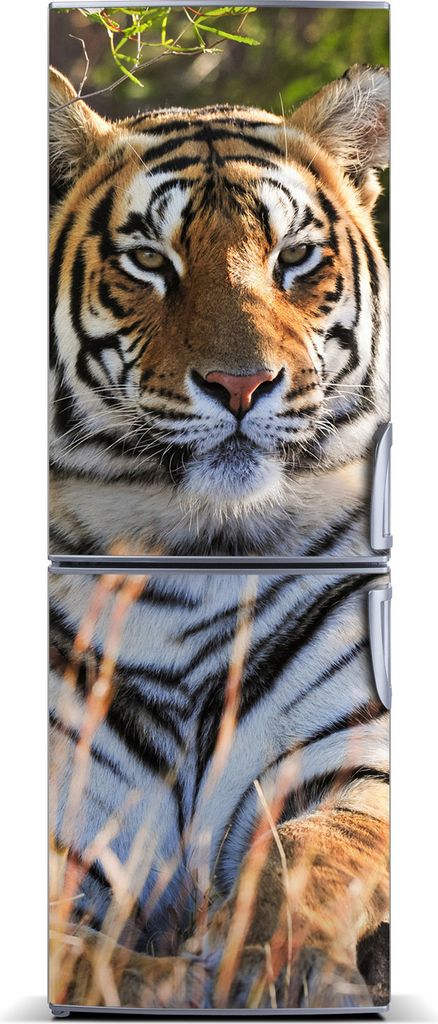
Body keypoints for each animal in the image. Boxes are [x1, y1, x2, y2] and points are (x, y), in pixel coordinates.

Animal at [49, 64, 390, 1010]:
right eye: (149, 262)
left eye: (294, 257)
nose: (242, 385)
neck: (202, 556)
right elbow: (81, 957)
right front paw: (163, 981)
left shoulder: (352, 751)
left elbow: (320, 850)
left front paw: (283, 959)